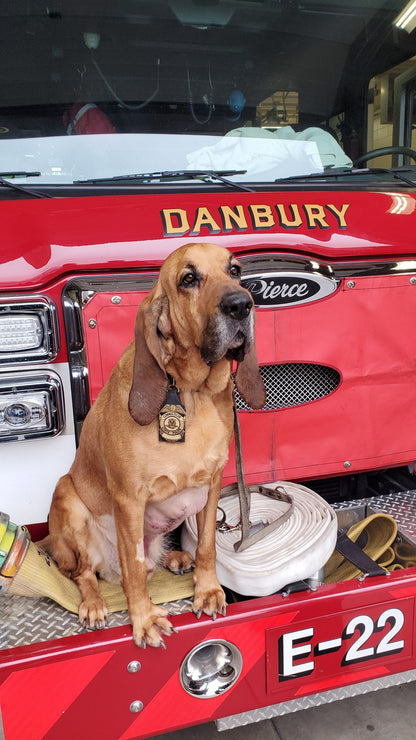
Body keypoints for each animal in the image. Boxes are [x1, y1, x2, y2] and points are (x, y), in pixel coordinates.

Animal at [39, 244, 266, 648]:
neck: (191, 391)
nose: (241, 304)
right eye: (188, 279)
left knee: (148, 562)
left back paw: (175, 558)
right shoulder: (129, 500)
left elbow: (206, 545)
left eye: (235, 270)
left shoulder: (212, 484)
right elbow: (134, 570)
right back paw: (94, 604)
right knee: (86, 574)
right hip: (68, 500)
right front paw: (144, 619)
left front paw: (207, 590)